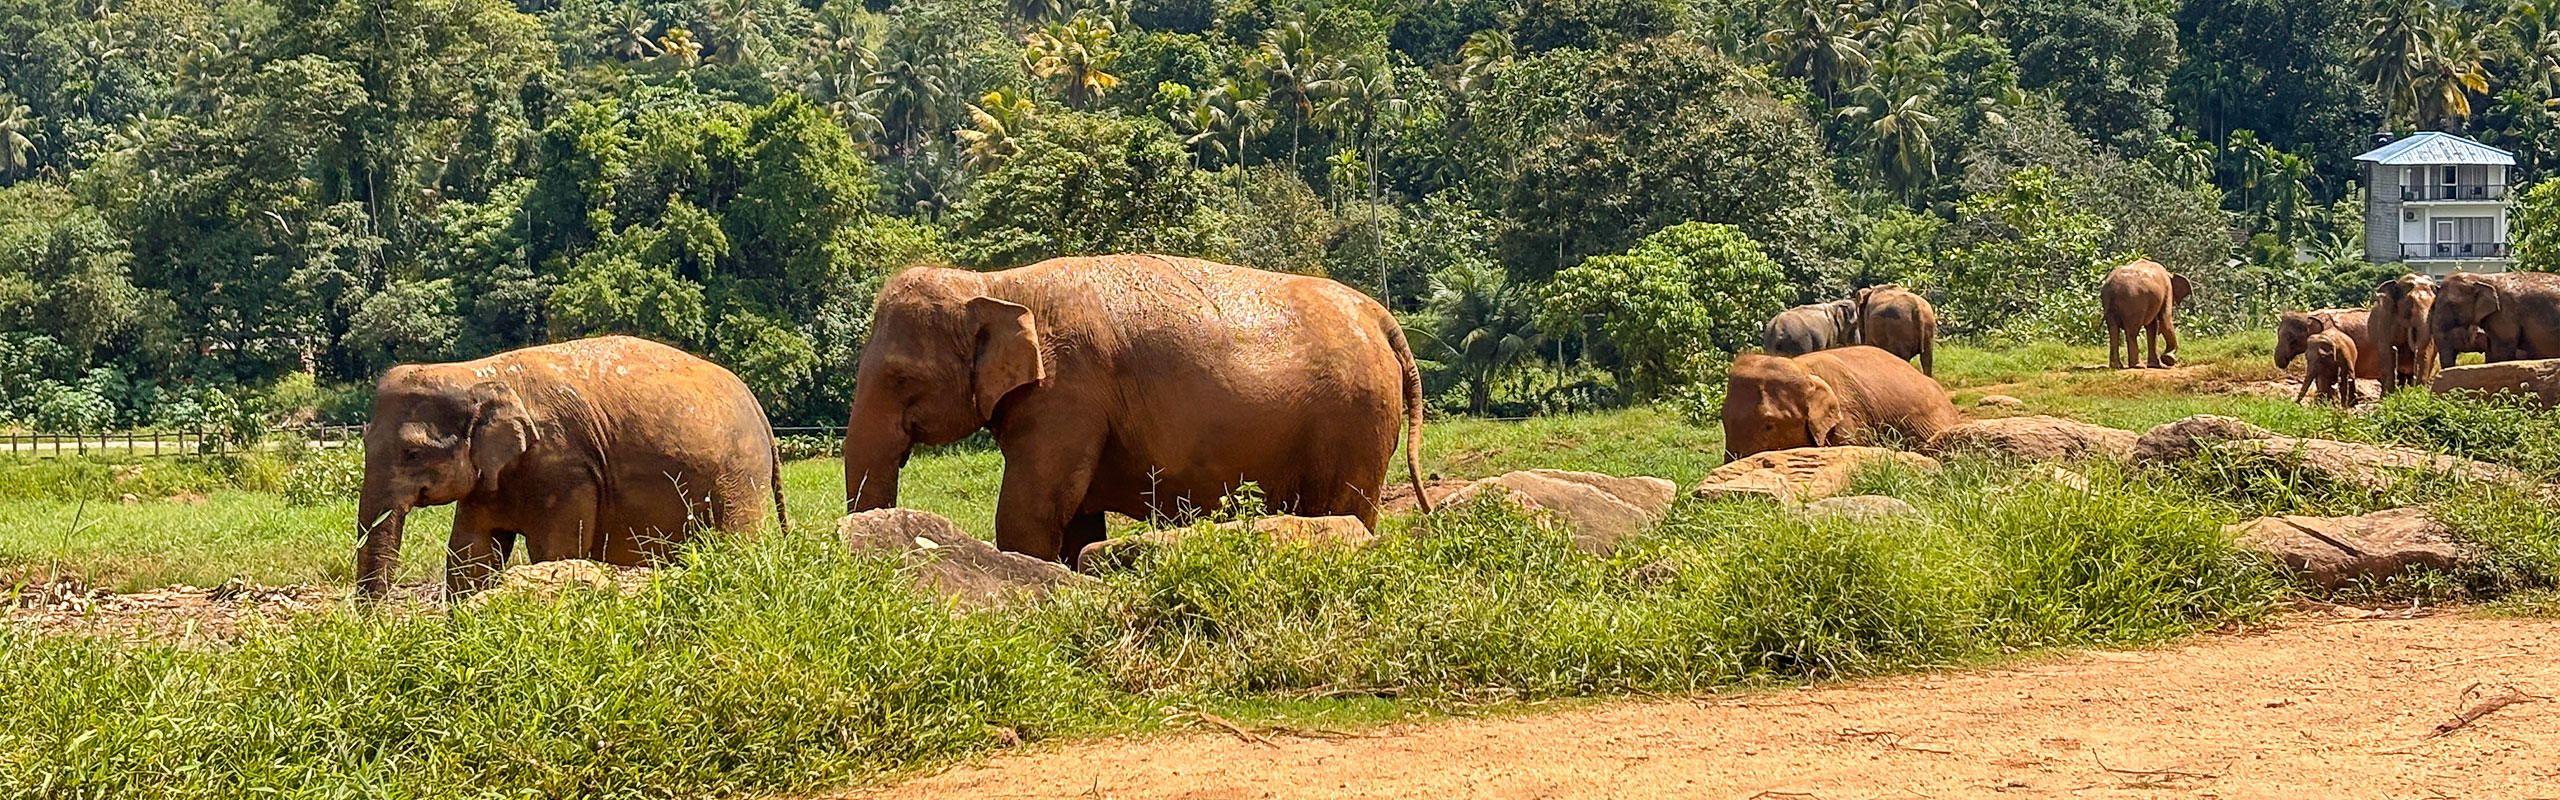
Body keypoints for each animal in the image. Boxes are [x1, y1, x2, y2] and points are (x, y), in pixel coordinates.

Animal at [355, 336, 785, 600]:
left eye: (411, 453)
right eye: (363, 444)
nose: (379, 629)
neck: (475, 372)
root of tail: (760, 411)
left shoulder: (565, 470)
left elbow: (553, 551)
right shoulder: (490, 480)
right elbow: (471, 553)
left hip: (740, 474)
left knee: (734, 541)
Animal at [841, 254, 1430, 565]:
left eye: (899, 378)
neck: (993, 283)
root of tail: (1379, 315)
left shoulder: (1066, 393)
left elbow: (1031, 513)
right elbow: (1075, 520)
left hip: (1355, 418)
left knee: (1343, 508)